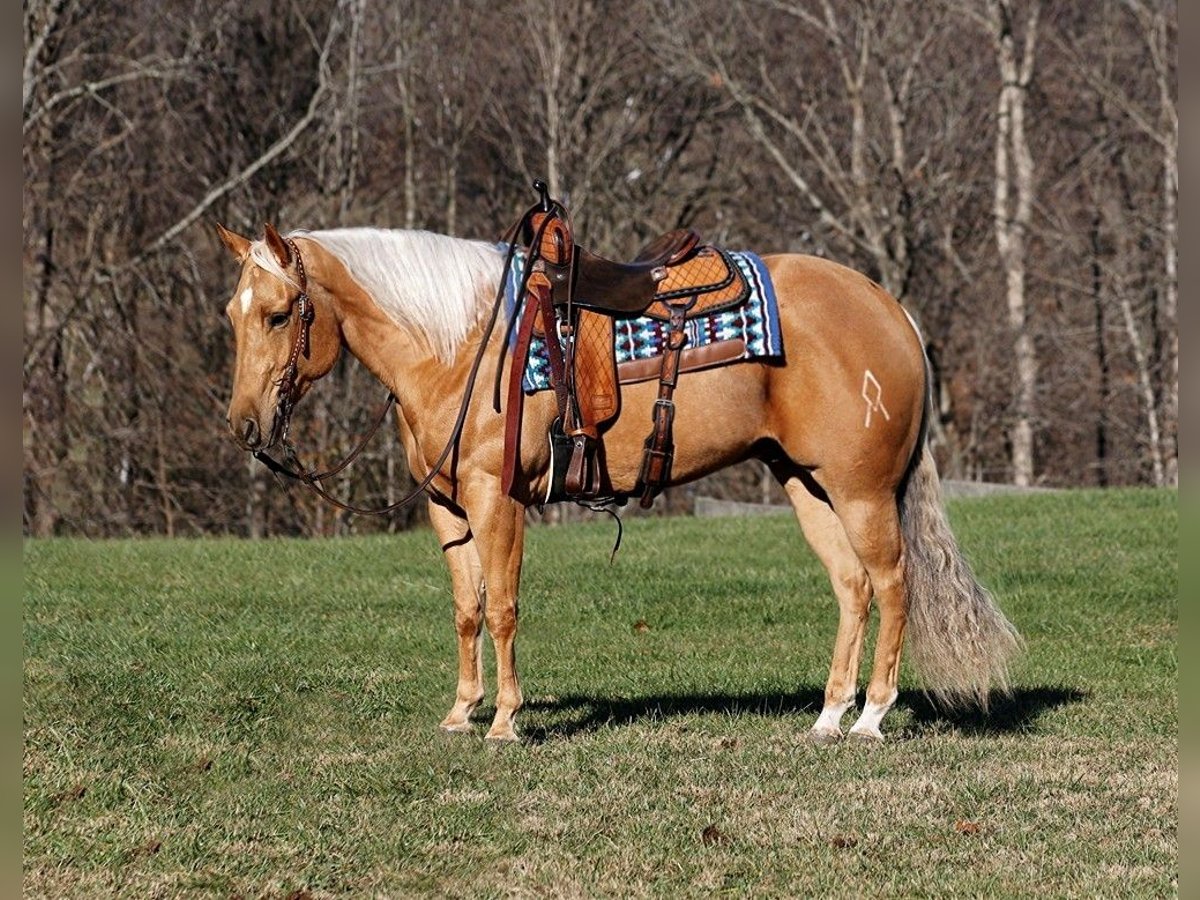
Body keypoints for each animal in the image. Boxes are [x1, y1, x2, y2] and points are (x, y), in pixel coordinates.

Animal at [218, 222, 1022, 744]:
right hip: (807, 484)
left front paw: (504, 722)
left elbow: (503, 609)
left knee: (893, 584)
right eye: (233, 314)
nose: (245, 425)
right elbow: (467, 611)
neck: (460, 346)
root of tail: (892, 309)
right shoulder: (448, 510)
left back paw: (873, 717)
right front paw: (460, 713)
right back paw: (829, 716)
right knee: (853, 588)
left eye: (280, 314)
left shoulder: (497, 500)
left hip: (862, 492)